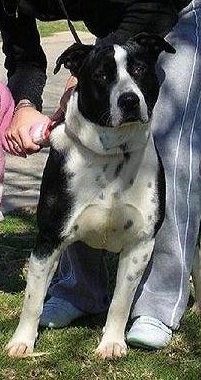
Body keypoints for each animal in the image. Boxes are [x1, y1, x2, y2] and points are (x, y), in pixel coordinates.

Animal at [5, 34, 201, 358]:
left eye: (139, 70)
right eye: (101, 76)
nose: (129, 100)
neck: (111, 155)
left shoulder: (139, 243)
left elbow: (121, 302)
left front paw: (112, 343)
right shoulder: (49, 239)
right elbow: (32, 299)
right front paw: (22, 341)